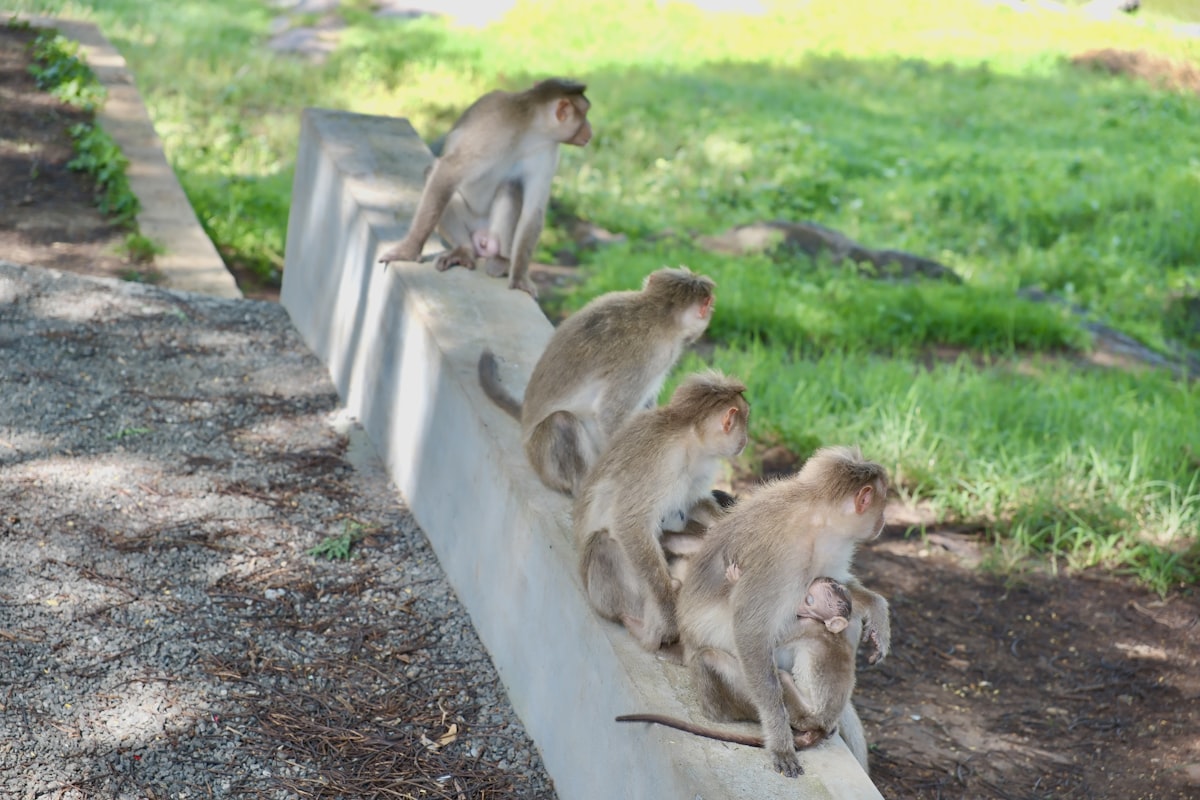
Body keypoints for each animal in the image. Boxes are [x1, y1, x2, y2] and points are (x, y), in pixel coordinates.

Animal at [378, 78, 592, 297]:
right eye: (585, 114)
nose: (590, 129)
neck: (530, 131)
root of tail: (480, 236)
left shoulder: (547, 152)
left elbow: (534, 210)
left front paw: (520, 276)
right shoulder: (492, 130)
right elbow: (447, 172)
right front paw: (409, 251)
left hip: (490, 232)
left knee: (510, 187)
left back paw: (501, 260)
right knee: (435, 176)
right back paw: (464, 250)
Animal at [575, 372, 749, 651]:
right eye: (745, 423)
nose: (745, 440)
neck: (688, 438)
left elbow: (693, 501)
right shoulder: (664, 462)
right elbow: (630, 523)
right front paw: (667, 616)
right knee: (603, 544)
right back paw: (649, 630)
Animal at [675, 445, 891, 778]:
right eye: (882, 504)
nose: (883, 519)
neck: (818, 519)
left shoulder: (831, 546)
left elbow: (839, 585)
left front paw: (878, 610)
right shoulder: (781, 555)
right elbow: (751, 631)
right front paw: (779, 740)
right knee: (714, 659)